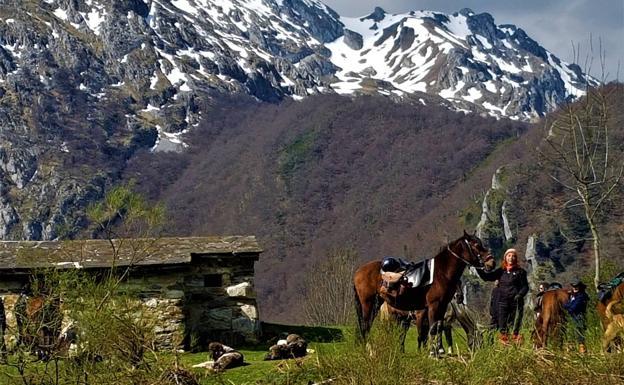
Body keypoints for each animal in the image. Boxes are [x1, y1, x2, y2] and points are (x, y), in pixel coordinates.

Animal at [352, 231, 492, 354]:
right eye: (476, 245)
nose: (490, 261)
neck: (440, 273)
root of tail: (359, 271)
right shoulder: (431, 308)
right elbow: (429, 332)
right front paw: (431, 352)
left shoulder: (440, 309)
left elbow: (436, 329)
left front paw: (437, 351)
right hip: (370, 305)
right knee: (366, 326)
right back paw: (370, 351)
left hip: (381, 307)